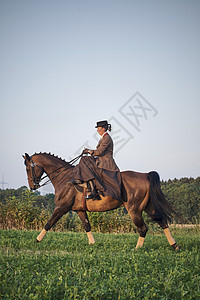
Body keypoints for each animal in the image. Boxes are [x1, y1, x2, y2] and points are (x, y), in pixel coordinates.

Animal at [22, 154, 180, 250]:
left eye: (28, 168)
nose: (32, 186)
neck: (65, 177)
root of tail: (145, 175)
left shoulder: (61, 207)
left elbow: (49, 223)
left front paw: (36, 241)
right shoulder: (79, 210)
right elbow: (87, 226)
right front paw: (92, 244)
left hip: (134, 209)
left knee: (143, 228)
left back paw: (137, 249)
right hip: (148, 207)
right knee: (162, 221)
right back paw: (175, 246)